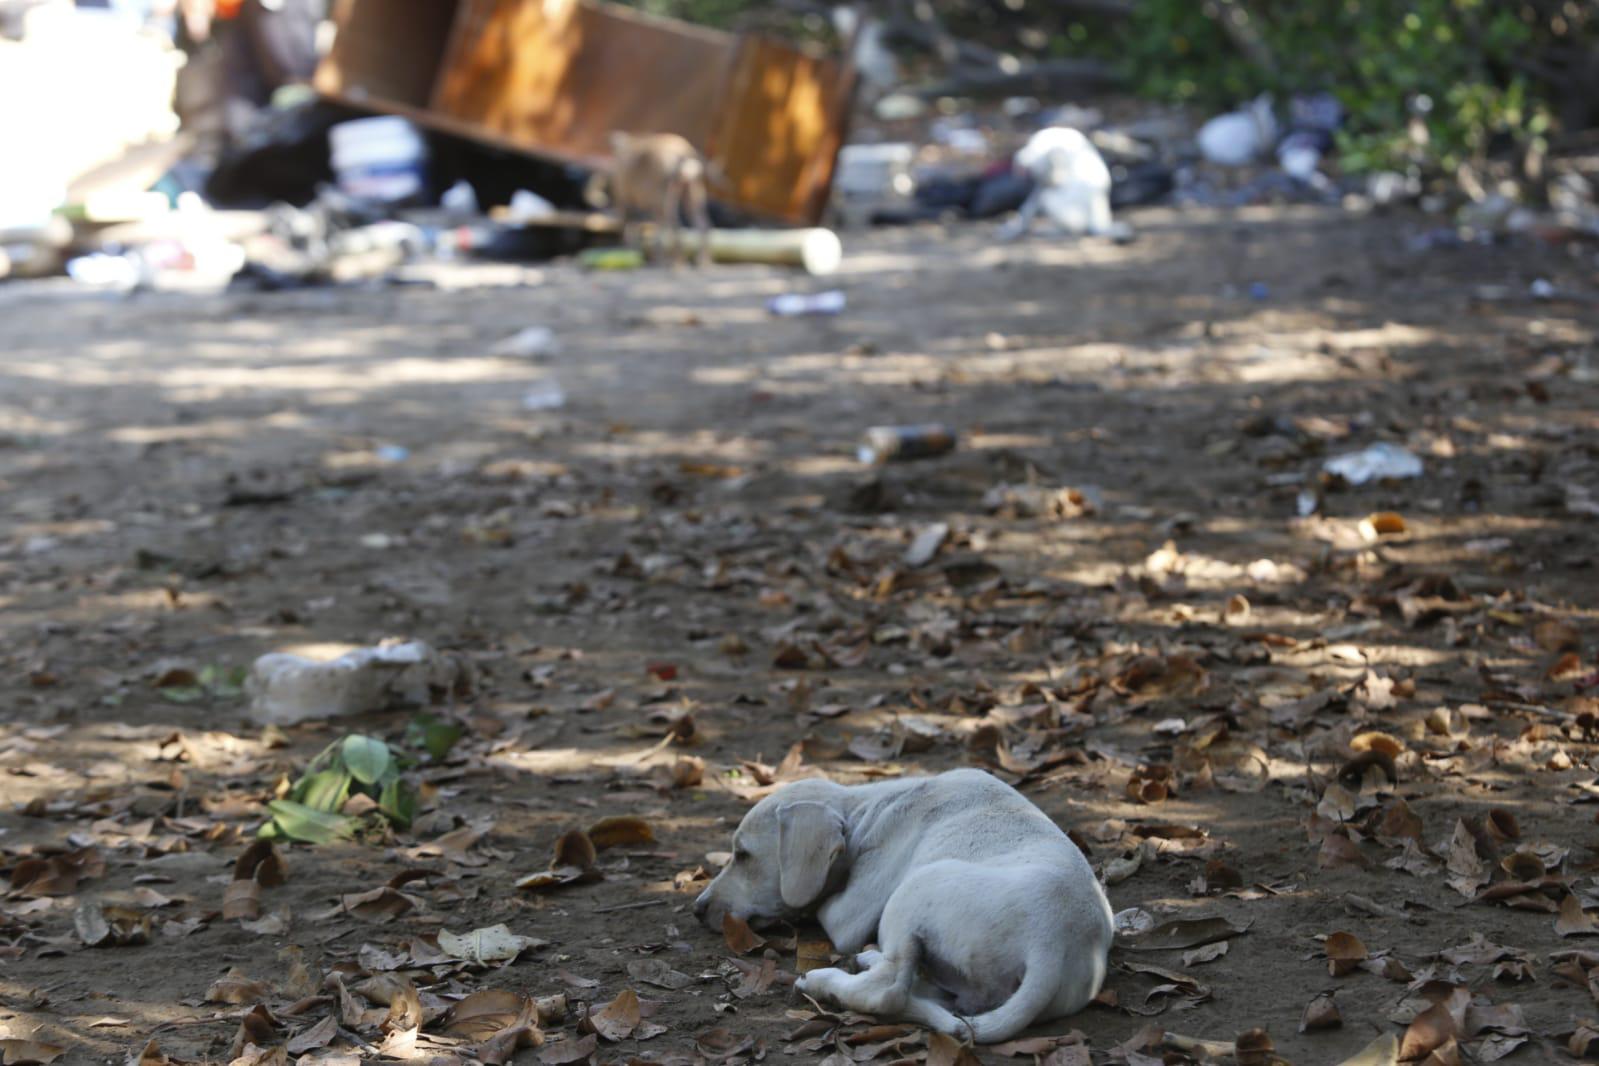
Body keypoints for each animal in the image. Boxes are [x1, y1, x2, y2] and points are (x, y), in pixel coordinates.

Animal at [604, 132, 713, 266]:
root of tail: (683, 151)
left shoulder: (625, 200)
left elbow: (630, 228)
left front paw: (632, 252)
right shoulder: (649, 206)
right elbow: (655, 233)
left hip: (665, 200)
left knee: (676, 227)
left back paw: (677, 263)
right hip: (693, 195)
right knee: (703, 225)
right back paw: (702, 261)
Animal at [693, 770, 1119, 1048]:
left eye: (743, 855)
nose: (697, 909)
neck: (868, 809)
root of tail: (1050, 947)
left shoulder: (847, 914)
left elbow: (823, 908)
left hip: (912, 892)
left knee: (888, 991)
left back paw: (826, 982)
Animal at [997, 125, 1125, 241]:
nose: (1021, 168)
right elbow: (1037, 192)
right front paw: (1017, 227)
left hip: (1074, 212)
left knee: (1049, 198)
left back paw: (1058, 231)